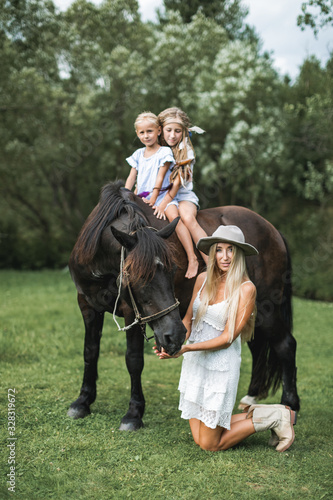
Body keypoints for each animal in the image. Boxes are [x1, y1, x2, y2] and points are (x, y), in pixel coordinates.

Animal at [67, 181, 298, 430]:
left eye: (174, 269)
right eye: (137, 275)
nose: (176, 335)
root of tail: (273, 230)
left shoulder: (132, 313)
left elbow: (134, 359)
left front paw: (133, 413)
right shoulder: (87, 305)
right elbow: (90, 352)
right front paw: (83, 401)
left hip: (267, 307)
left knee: (286, 345)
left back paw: (290, 404)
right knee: (257, 346)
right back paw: (251, 398)